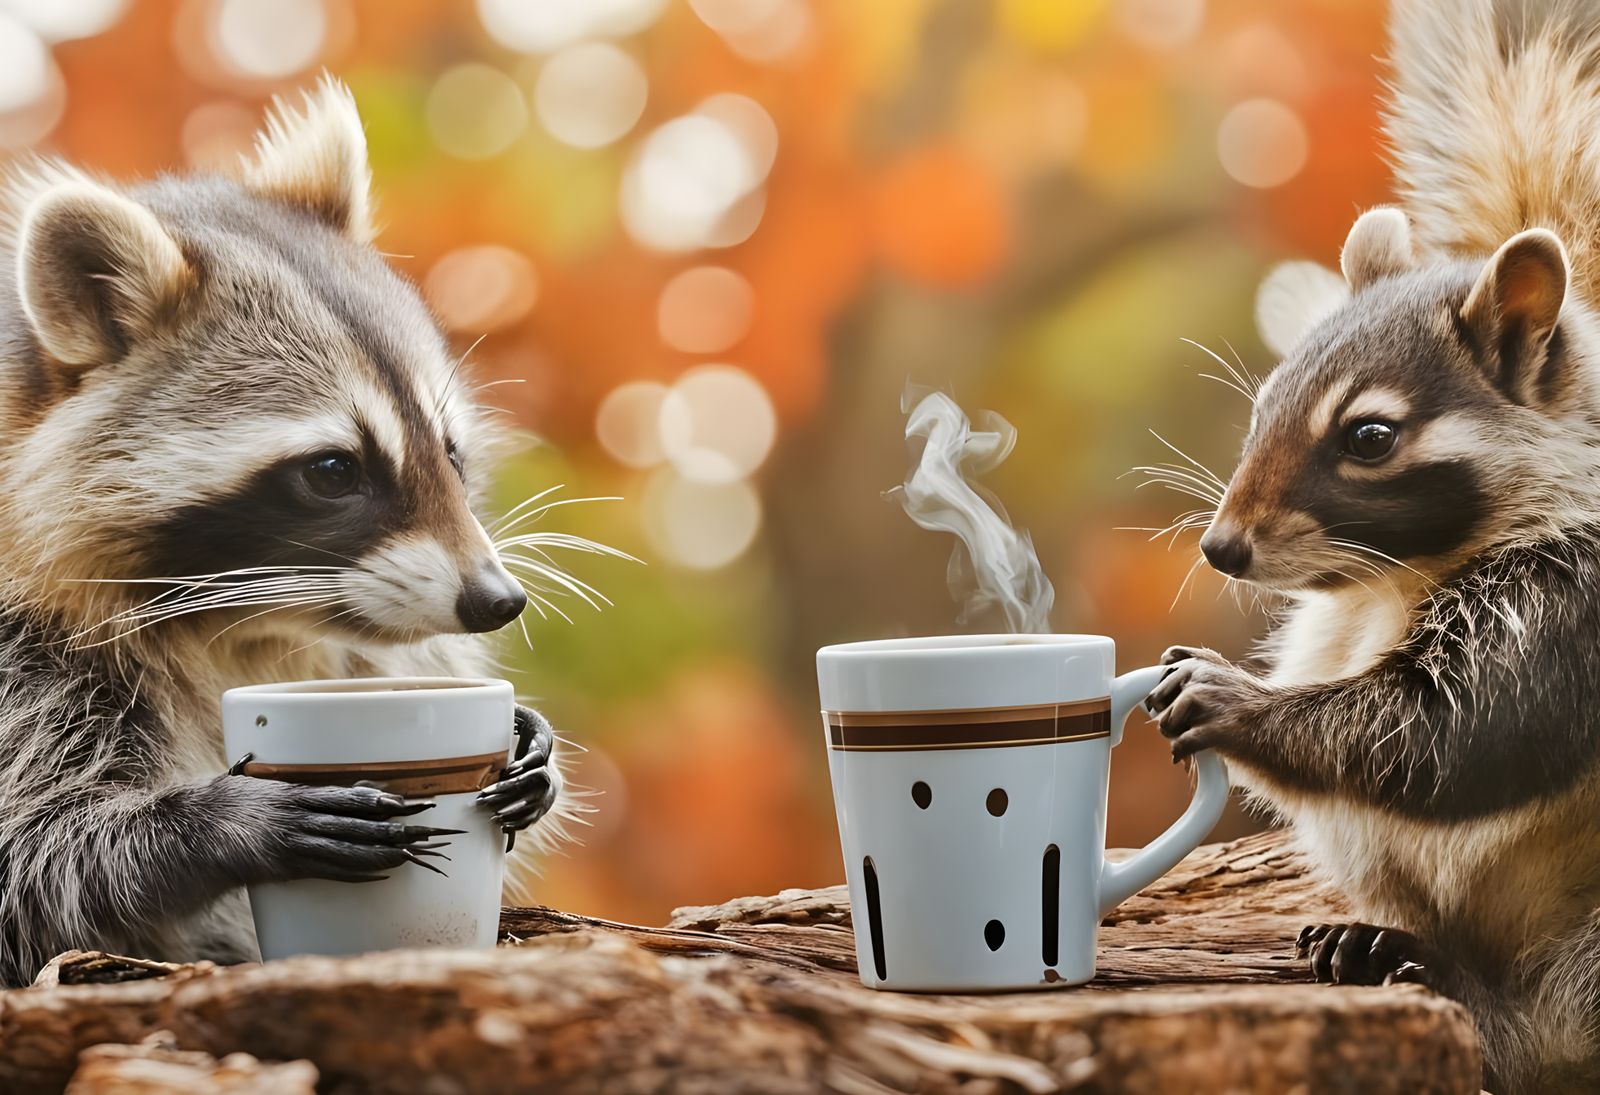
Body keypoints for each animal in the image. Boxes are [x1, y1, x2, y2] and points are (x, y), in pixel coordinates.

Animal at [0, 79, 579, 986]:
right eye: (334, 470)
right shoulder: (25, 663)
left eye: (449, 450)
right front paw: (218, 819)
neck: (243, 632)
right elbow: (34, 847)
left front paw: (534, 748)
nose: (499, 600)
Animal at [1143, 2, 1600, 1090]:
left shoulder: (1571, 606)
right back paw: (1384, 946)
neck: (1390, 581)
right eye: (1264, 399)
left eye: (1371, 438)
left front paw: (1231, 699)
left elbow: (1446, 733)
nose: (1221, 550)